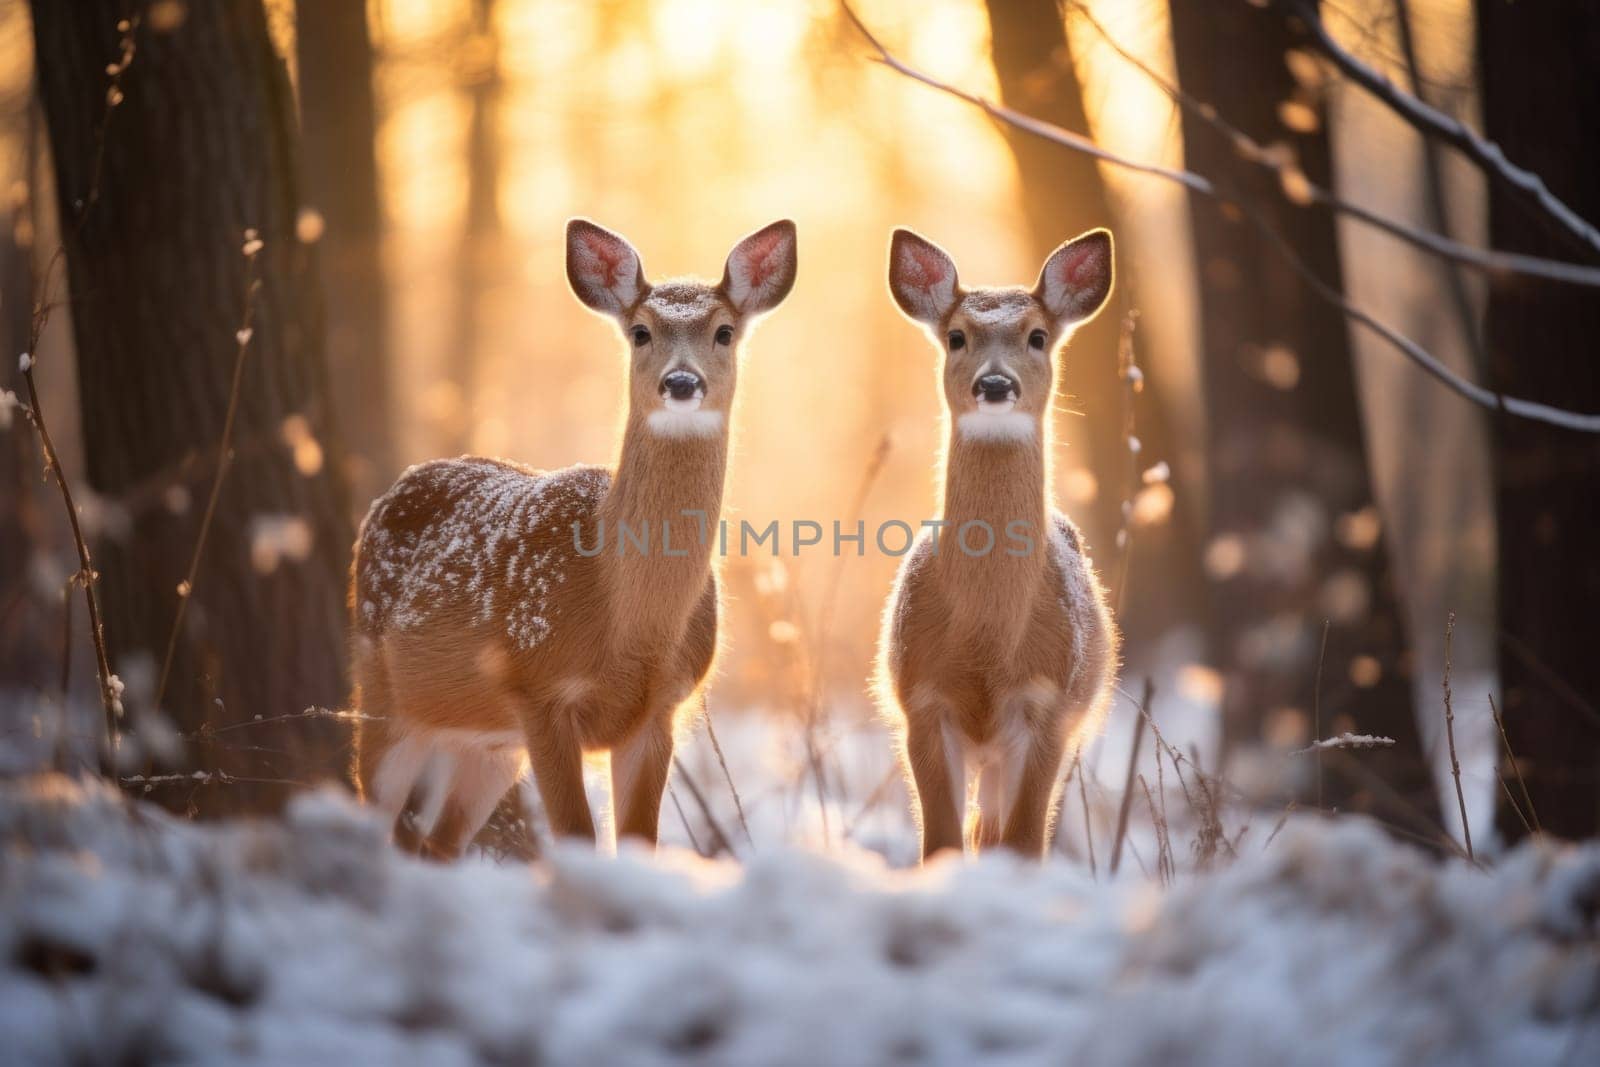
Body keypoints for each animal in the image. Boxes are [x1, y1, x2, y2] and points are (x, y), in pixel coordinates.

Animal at [352, 217, 800, 857]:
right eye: (640, 331)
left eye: (724, 332)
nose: (681, 382)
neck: (629, 625)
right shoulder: (539, 691)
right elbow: (577, 837)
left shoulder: (658, 712)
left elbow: (638, 841)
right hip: (384, 695)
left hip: (488, 744)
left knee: (436, 842)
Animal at [876, 225, 1126, 857]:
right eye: (956, 336)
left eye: (1037, 336)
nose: (994, 382)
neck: (988, 640)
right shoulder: (923, 703)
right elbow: (942, 841)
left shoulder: (1048, 708)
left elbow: (1023, 842)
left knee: (994, 830)